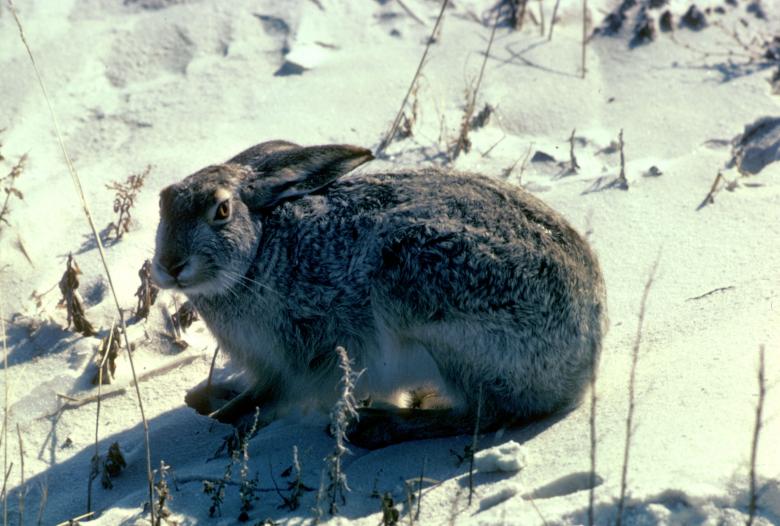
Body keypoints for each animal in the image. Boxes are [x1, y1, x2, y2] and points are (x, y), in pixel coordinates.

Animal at [152, 140, 607, 449]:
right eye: (163, 202)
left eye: (222, 211)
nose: (170, 266)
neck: (257, 252)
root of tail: (586, 350)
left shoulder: (291, 362)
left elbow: (259, 402)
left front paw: (222, 417)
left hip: (424, 295)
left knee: (486, 413)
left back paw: (374, 425)